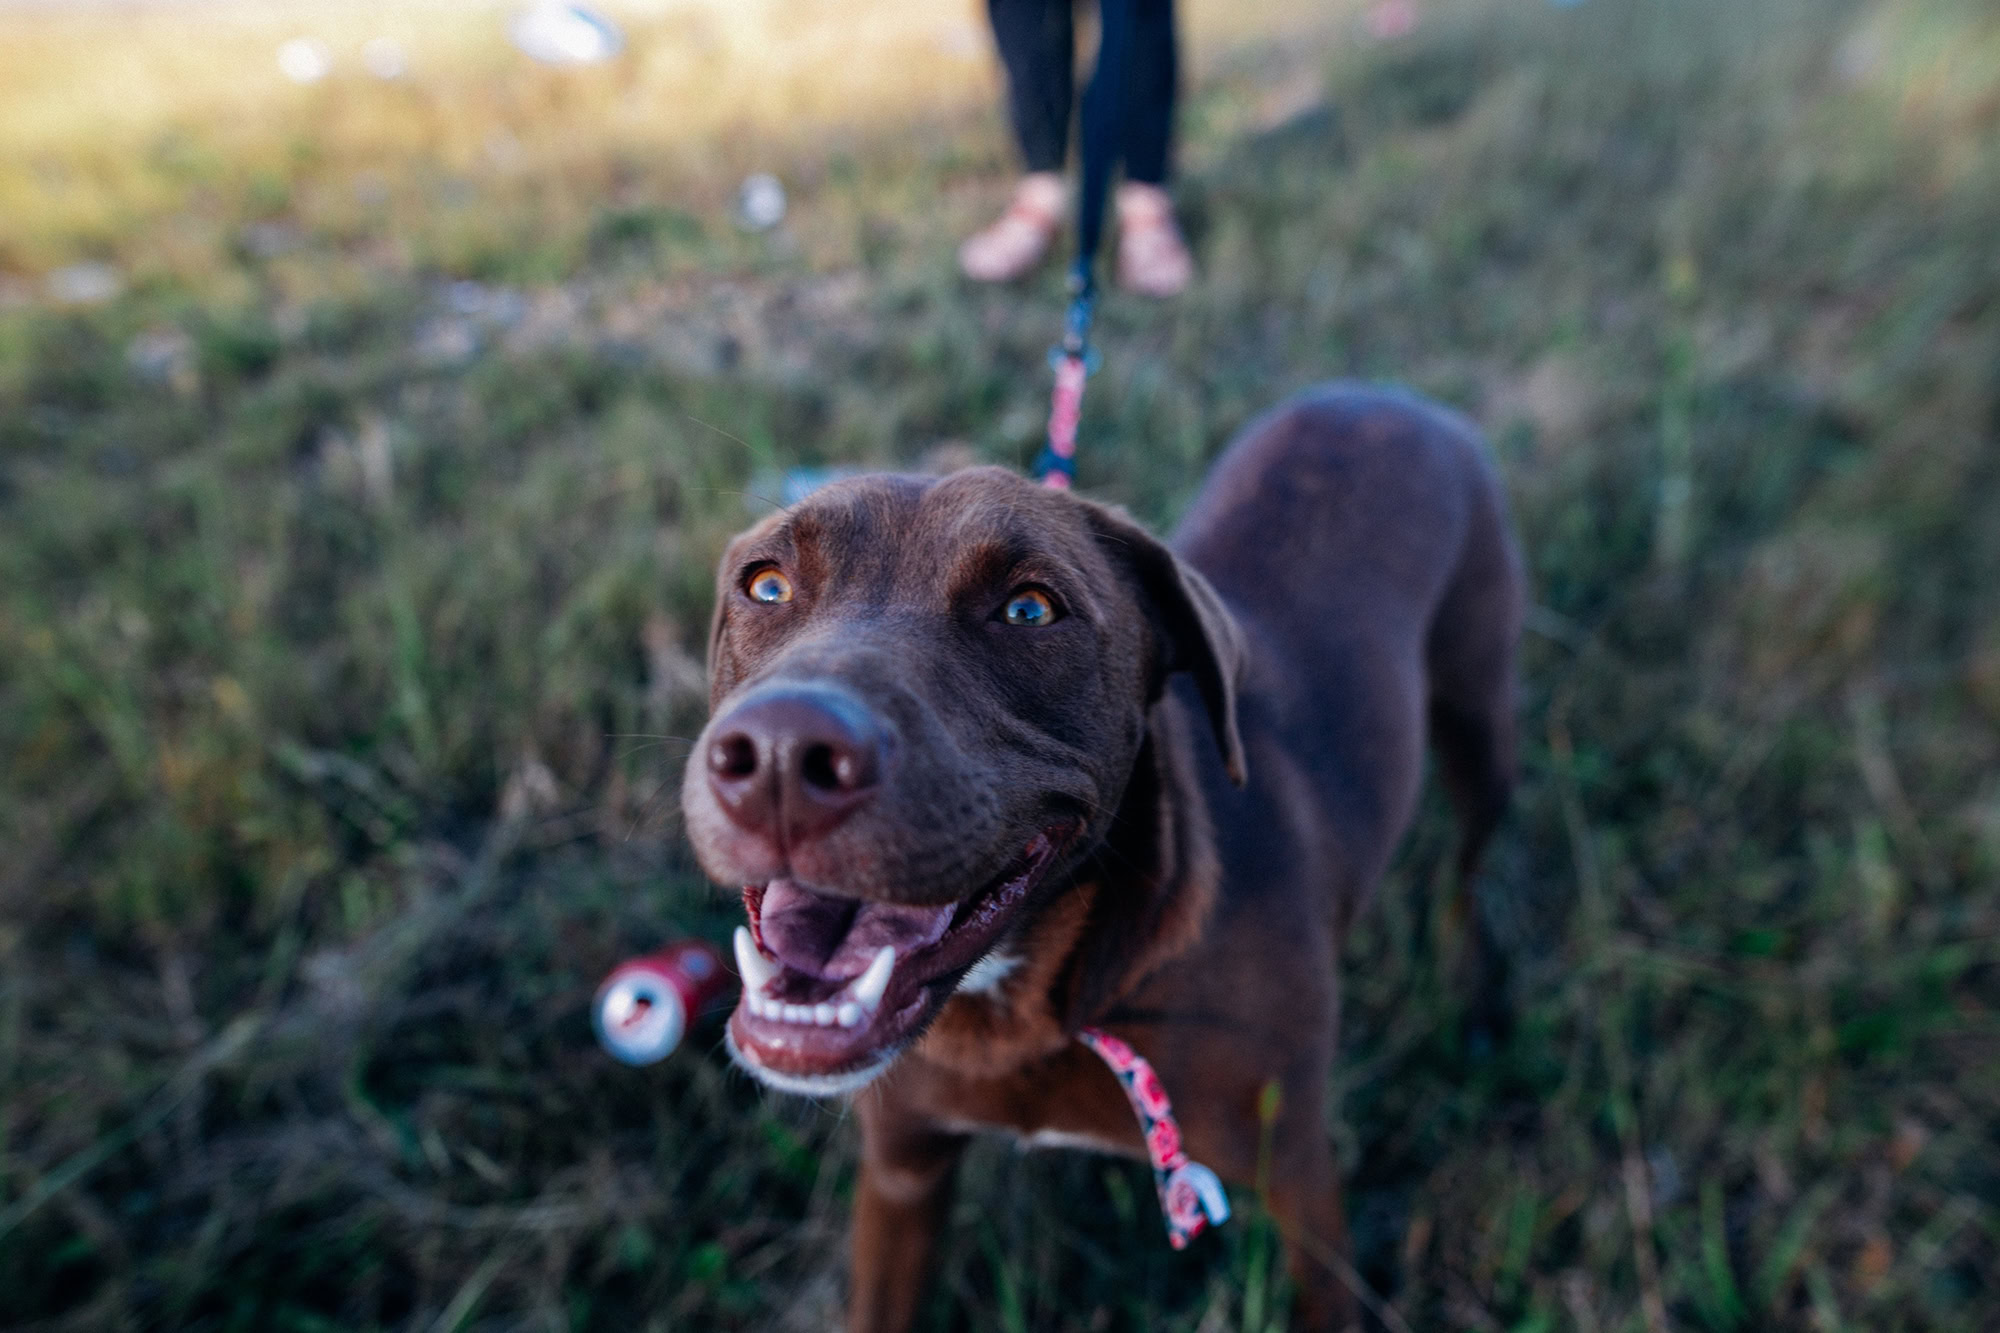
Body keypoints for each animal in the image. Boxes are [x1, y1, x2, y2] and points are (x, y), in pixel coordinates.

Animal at [680, 378, 1520, 1320]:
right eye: (767, 584)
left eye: (1030, 608)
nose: (782, 756)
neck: (1023, 1005)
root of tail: (1390, 394)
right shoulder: (902, 1173)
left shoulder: (1300, 1175)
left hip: (1481, 721)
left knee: (1470, 863)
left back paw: (1473, 993)